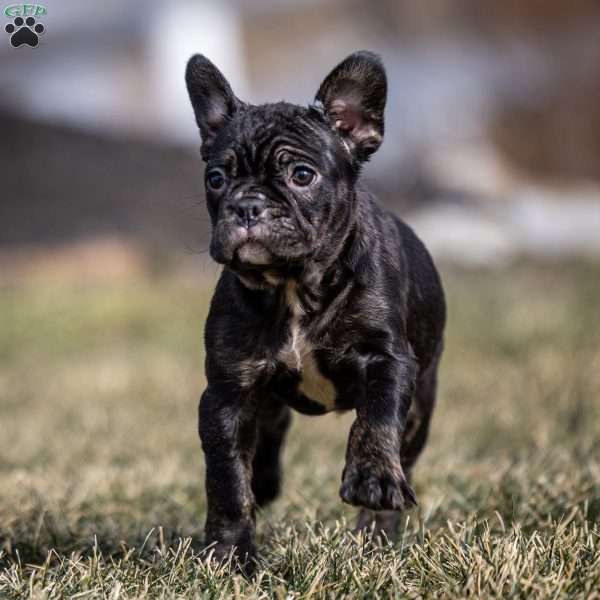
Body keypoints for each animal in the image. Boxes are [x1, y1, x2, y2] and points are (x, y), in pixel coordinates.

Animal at [184, 49, 446, 564]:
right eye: (216, 179)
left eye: (301, 175)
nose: (247, 206)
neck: (293, 284)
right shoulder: (227, 391)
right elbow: (227, 478)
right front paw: (230, 555)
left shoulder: (388, 359)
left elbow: (375, 421)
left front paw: (372, 478)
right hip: (264, 403)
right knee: (267, 443)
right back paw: (264, 484)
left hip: (422, 405)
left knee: (402, 450)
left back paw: (377, 534)